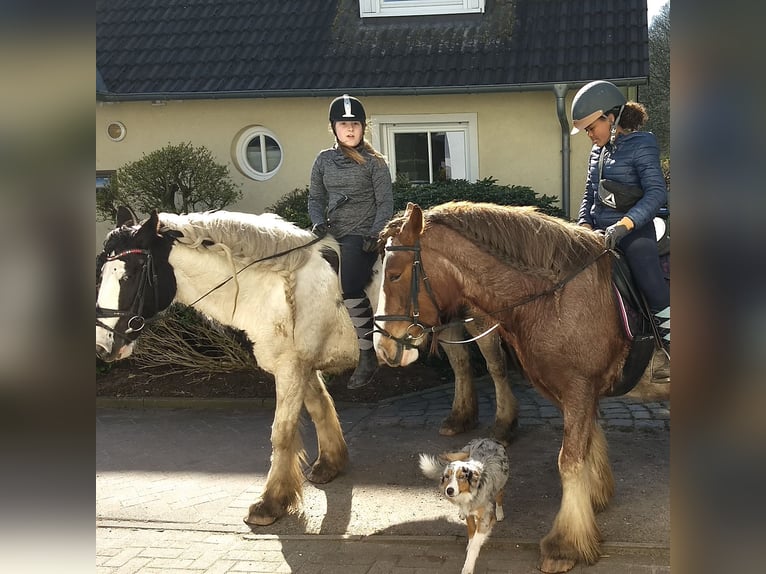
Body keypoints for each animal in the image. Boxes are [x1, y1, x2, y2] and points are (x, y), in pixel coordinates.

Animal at [420, 438, 510, 572]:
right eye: (447, 476)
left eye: (461, 477)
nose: (449, 490)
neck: (470, 494)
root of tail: (486, 439)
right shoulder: (469, 512)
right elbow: (471, 530)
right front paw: (471, 542)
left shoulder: (485, 517)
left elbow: (475, 544)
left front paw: (467, 567)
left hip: (501, 482)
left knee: (500, 494)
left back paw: (499, 513)